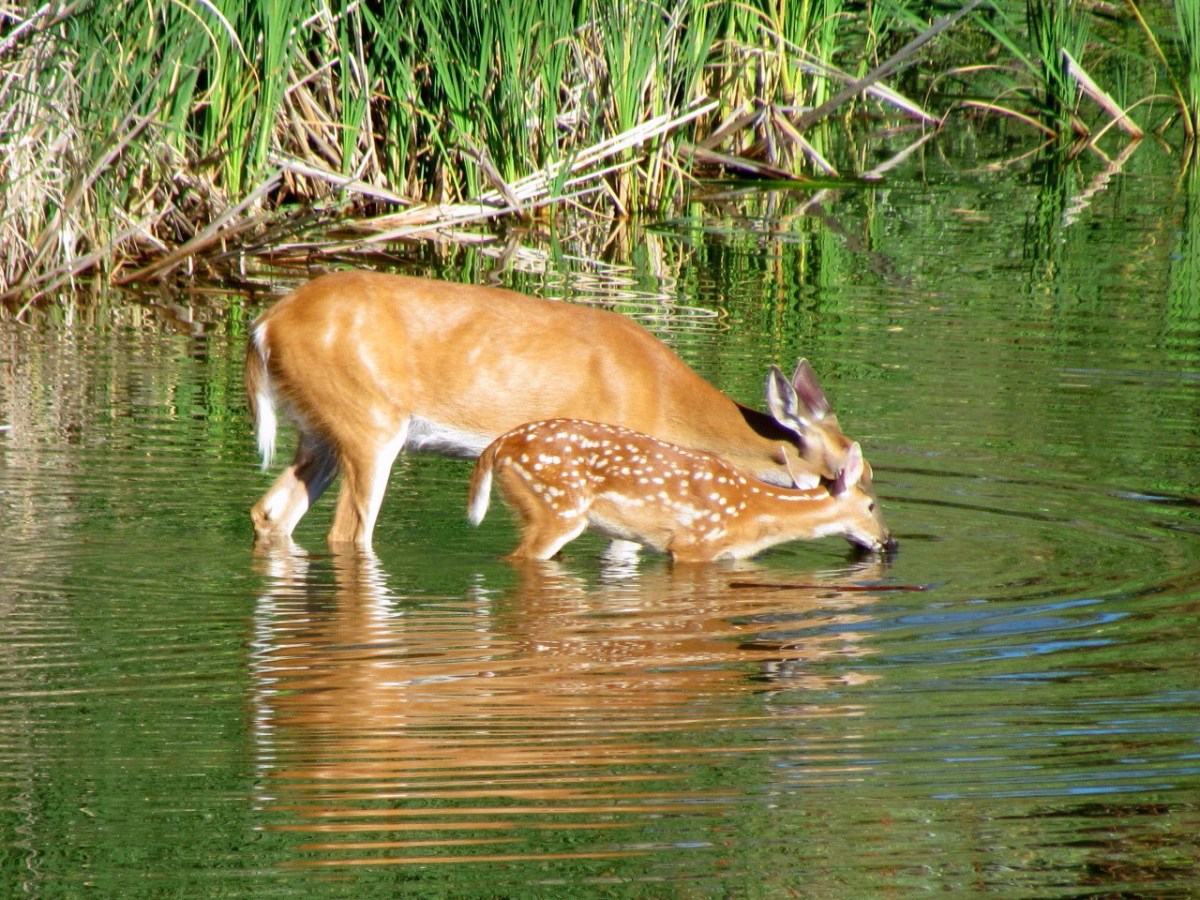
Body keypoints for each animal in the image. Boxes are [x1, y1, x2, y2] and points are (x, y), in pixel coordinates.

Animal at [246, 271, 875, 549]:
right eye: (852, 471)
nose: (880, 540)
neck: (664, 395)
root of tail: (265, 326)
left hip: (318, 429)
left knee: (272, 512)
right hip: (370, 422)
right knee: (348, 533)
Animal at [467, 419, 893, 562]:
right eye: (871, 506)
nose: (889, 541)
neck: (756, 514)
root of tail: (499, 446)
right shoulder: (693, 546)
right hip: (558, 508)